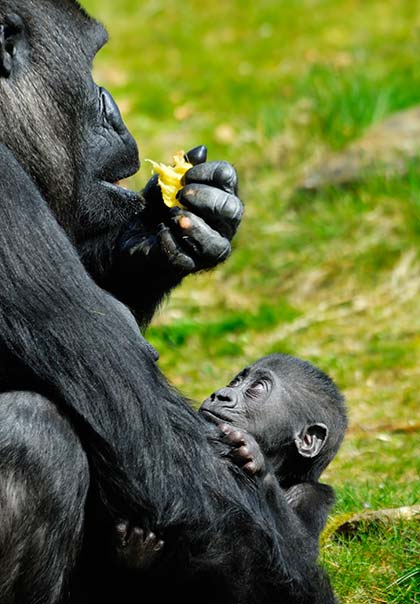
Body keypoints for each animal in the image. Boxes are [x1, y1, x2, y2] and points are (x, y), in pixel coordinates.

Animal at [113, 352, 346, 568]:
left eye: (257, 388)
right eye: (235, 382)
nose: (221, 395)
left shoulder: (313, 494)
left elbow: (302, 556)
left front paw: (257, 458)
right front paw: (137, 553)